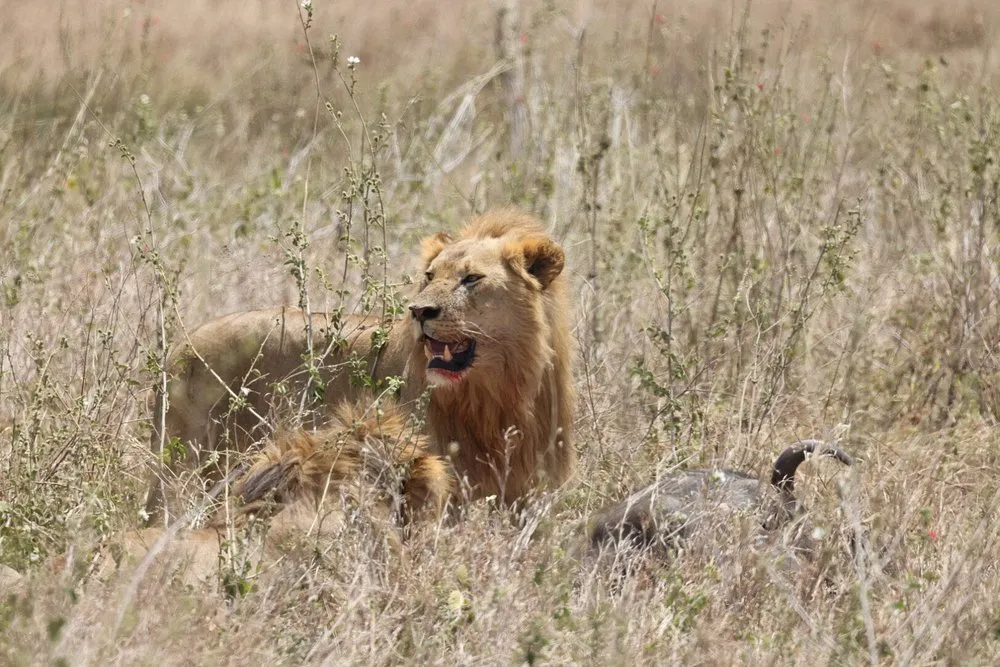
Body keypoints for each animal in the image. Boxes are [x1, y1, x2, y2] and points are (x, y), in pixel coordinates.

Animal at [144, 211, 576, 524]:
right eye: (429, 276)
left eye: (472, 278)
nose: (419, 311)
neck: (496, 394)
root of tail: (179, 348)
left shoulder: (530, 494)